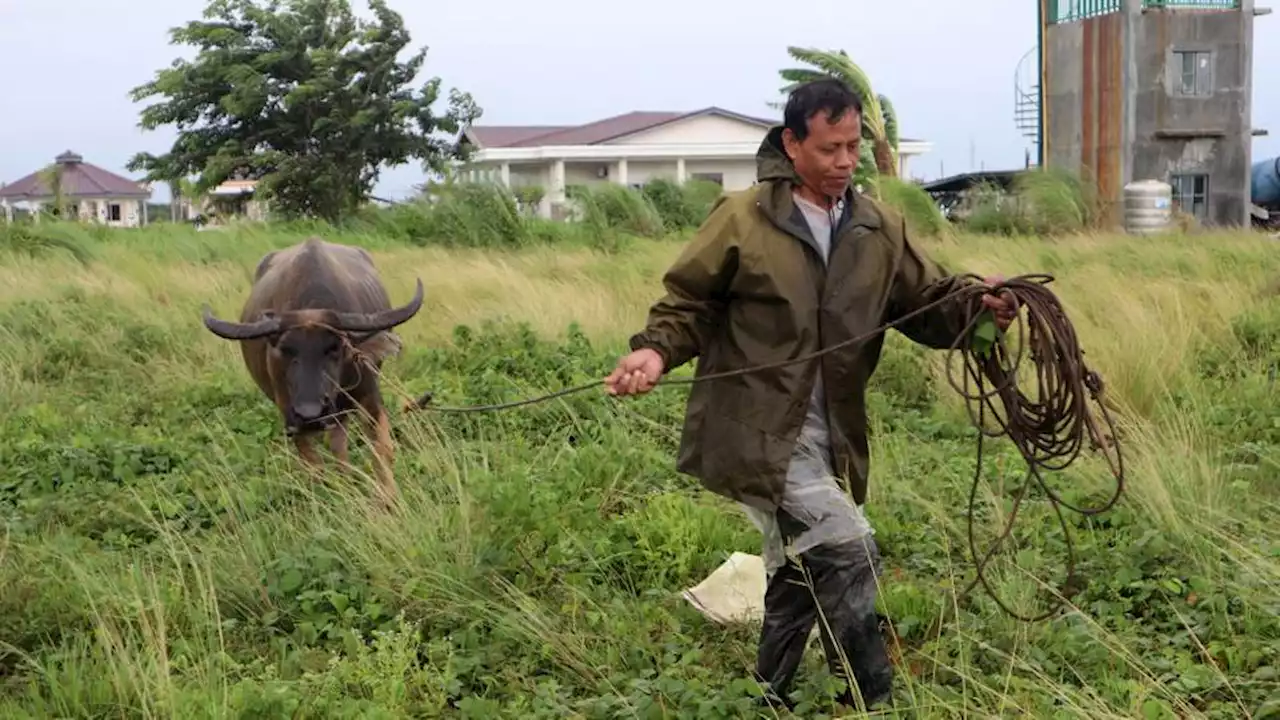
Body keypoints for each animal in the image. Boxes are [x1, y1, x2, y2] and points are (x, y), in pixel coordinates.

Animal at [197, 237, 422, 504]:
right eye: (285, 350)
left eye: (335, 348)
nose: (310, 414)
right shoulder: (289, 413)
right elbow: (313, 465)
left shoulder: (369, 394)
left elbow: (382, 448)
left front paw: (387, 499)